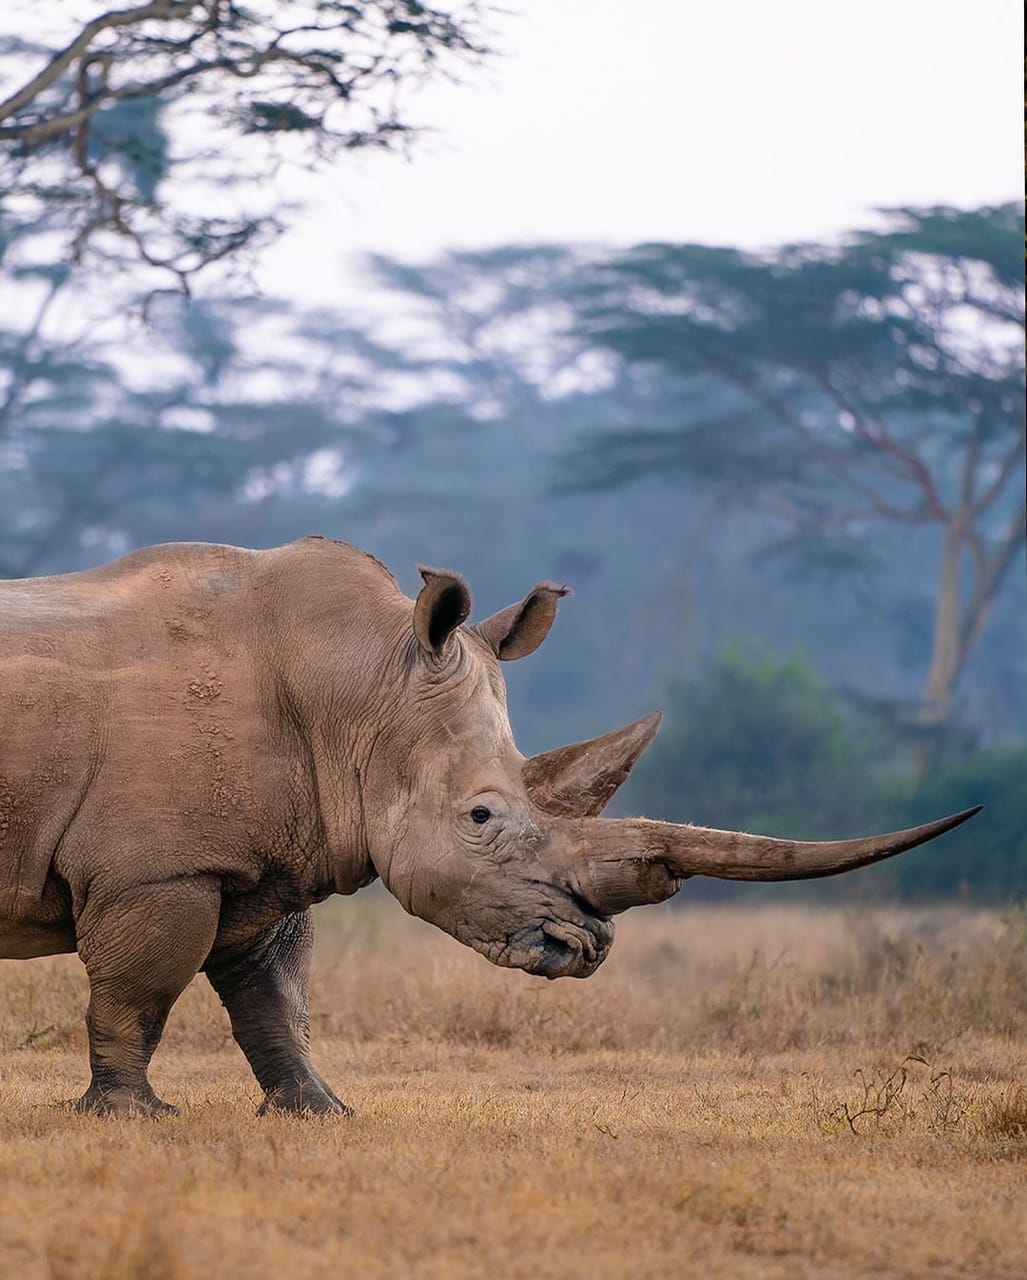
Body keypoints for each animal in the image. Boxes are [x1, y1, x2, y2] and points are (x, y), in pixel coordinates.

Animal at [0, 537, 978, 1116]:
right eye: (480, 817)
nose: (582, 950)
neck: (359, 690)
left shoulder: (256, 861)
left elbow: (274, 996)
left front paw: (320, 1113)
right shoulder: (158, 870)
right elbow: (140, 992)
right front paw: (130, 1118)